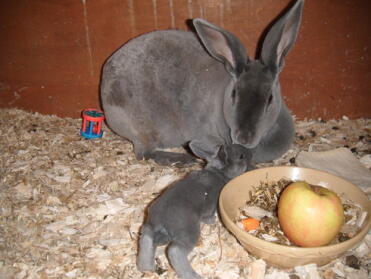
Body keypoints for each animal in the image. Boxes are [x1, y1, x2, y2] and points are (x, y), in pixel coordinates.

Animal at [101, 0, 306, 167]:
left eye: (270, 98)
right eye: (234, 94)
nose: (243, 138)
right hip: (142, 129)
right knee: (143, 152)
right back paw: (182, 159)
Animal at [137, 142, 253, 279]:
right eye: (241, 156)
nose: (250, 153)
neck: (217, 173)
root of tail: (160, 219)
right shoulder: (210, 207)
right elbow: (208, 216)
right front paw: (212, 221)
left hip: (151, 229)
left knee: (146, 238)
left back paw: (146, 268)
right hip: (189, 232)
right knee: (174, 251)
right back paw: (194, 275)